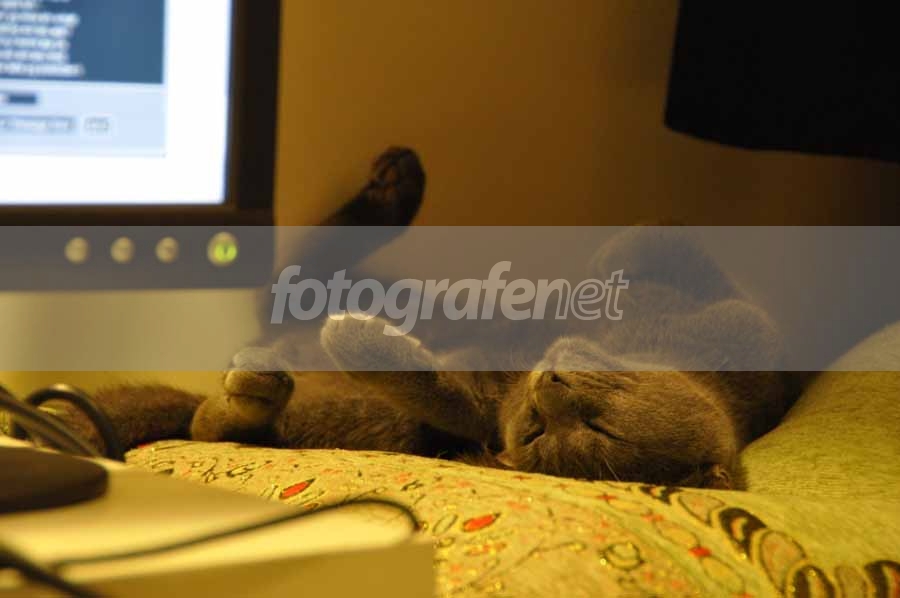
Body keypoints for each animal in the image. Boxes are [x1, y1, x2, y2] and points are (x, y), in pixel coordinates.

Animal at [46, 147, 790, 489]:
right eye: (543, 423)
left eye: (591, 428)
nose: (547, 385)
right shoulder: (740, 320)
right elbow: (647, 240)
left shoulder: (477, 413)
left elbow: (436, 387)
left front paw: (357, 339)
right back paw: (398, 183)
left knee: (210, 420)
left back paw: (258, 384)